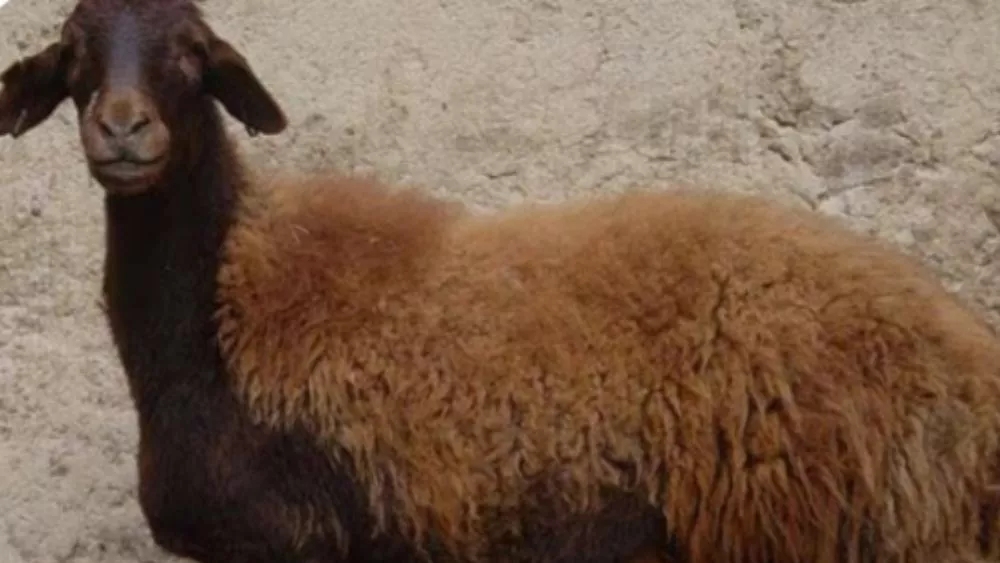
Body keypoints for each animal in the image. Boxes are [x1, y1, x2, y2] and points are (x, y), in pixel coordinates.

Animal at [2, 1, 1000, 562]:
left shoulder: (292, 537)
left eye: (193, 51)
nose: (122, 129)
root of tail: (966, 356)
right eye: (73, 47)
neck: (224, 298)